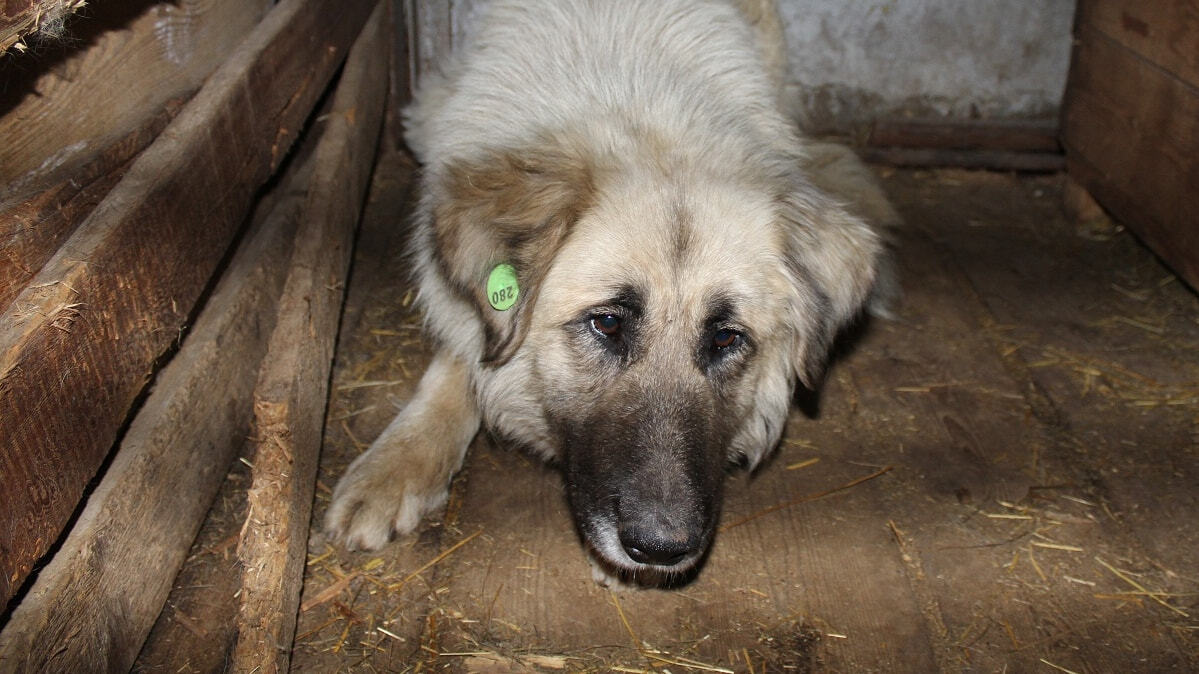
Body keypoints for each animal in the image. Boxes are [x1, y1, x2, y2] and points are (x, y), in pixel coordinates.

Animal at [323, 0, 896, 582]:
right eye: (607, 323)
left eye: (726, 339)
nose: (662, 548)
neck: (639, 104)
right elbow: (457, 361)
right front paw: (396, 463)